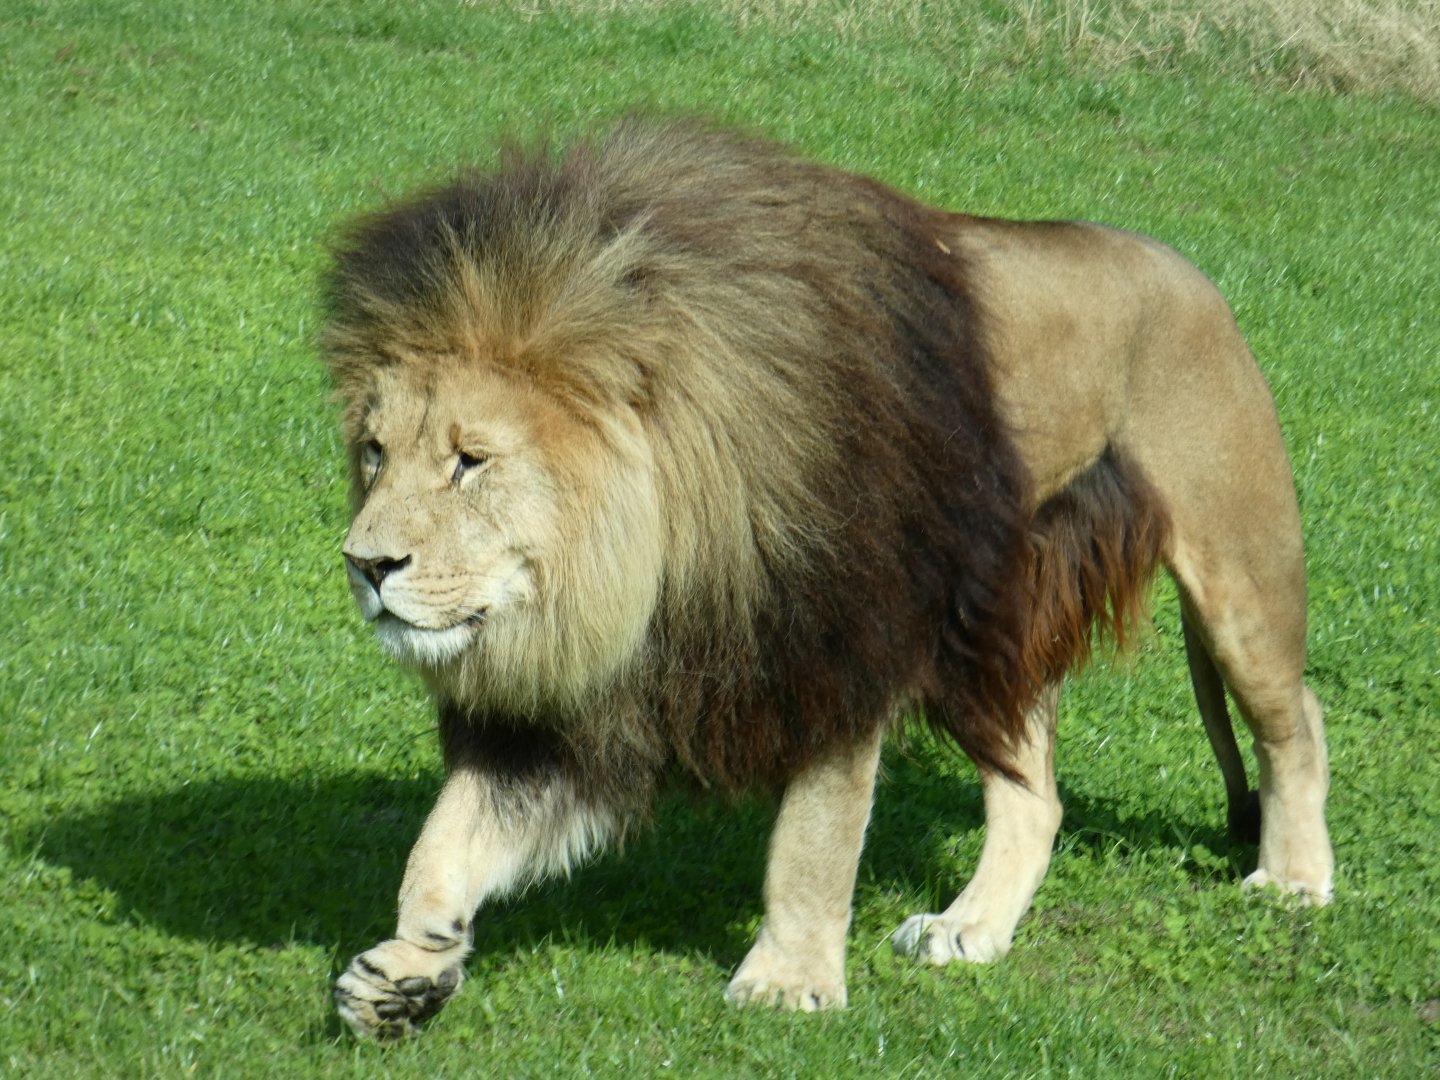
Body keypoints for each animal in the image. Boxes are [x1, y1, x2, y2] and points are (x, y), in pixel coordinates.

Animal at [321, 119, 1333, 1038]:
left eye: (470, 462)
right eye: (376, 452)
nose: (365, 565)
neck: (653, 567)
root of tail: (1185, 269)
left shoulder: (838, 645)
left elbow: (813, 841)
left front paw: (787, 981)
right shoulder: (580, 705)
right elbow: (445, 837)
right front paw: (410, 969)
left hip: (1240, 568)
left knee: (1296, 721)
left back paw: (1293, 879)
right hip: (991, 624)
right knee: (1036, 794)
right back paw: (970, 929)